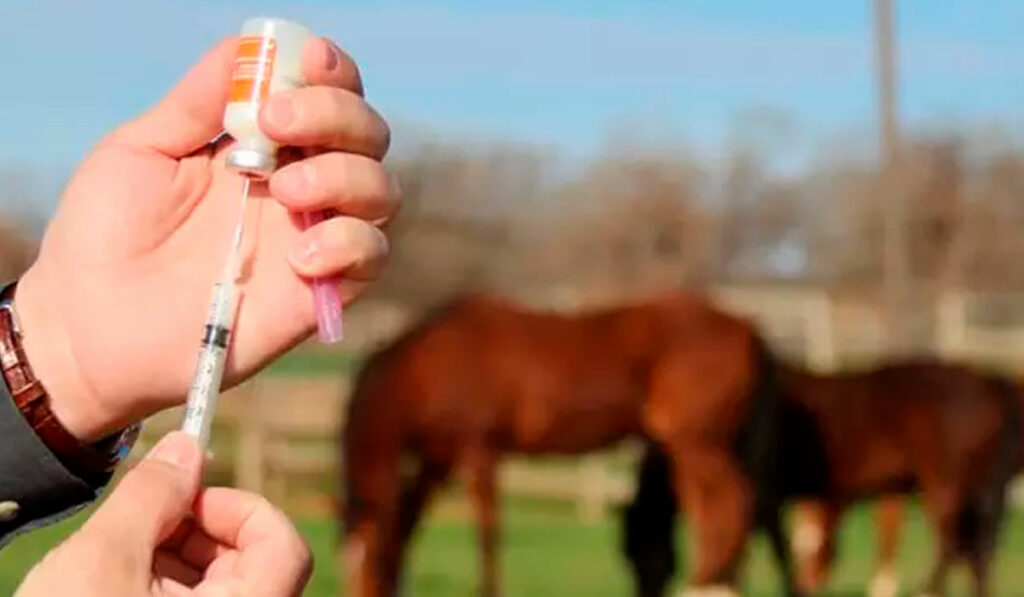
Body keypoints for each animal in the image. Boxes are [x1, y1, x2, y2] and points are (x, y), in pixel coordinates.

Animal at [342, 292, 798, 597]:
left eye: (370, 566)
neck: (432, 360)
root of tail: (748, 329)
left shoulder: (480, 450)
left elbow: (488, 534)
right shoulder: (438, 458)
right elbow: (407, 526)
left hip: (699, 444)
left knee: (731, 504)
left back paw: (705, 582)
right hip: (696, 448)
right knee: (714, 510)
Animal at [618, 358, 1019, 593]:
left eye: (637, 551)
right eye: (627, 553)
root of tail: (988, 384)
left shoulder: (767, 499)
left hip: (947, 486)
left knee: (953, 545)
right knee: (977, 551)